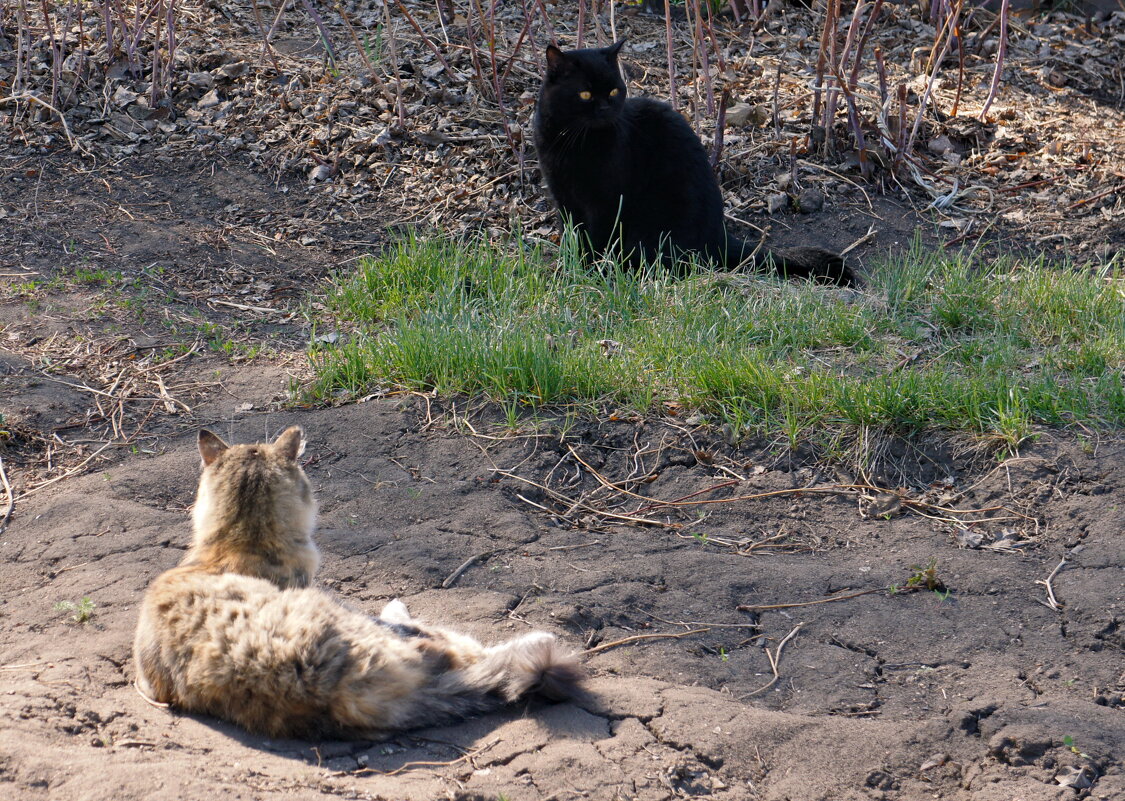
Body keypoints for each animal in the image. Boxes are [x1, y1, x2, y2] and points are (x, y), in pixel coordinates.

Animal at [533, 40, 850, 285]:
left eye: (613, 91)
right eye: (585, 94)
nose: (605, 109)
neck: (573, 142)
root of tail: (720, 239)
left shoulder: (607, 200)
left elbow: (597, 238)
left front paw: (594, 271)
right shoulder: (563, 196)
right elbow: (573, 234)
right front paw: (570, 268)